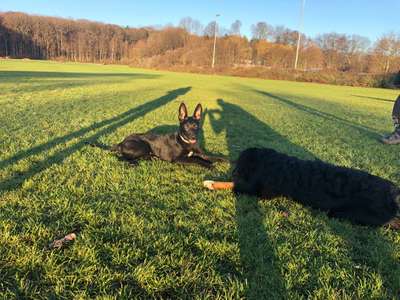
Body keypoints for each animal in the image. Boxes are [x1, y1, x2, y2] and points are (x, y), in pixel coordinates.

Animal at [206, 148, 400, 230]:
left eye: (241, 165)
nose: (234, 172)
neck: (271, 163)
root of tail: (392, 191)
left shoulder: (260, 191)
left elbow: (235, 185)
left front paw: (211, 183)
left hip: (349, 214)